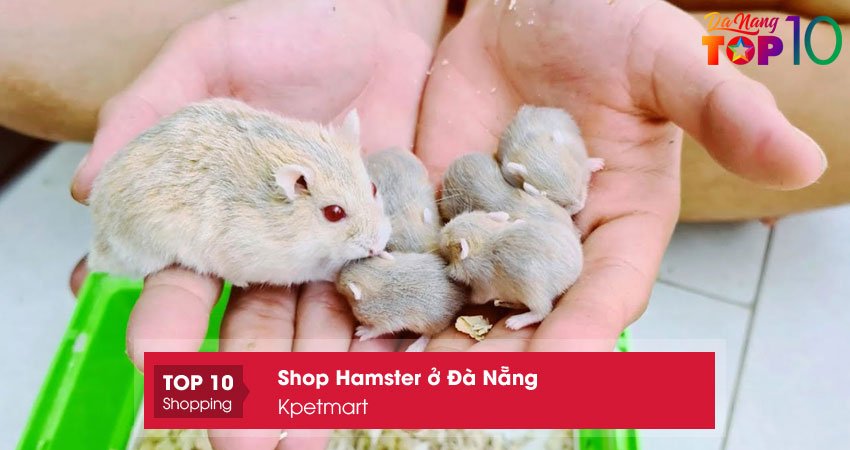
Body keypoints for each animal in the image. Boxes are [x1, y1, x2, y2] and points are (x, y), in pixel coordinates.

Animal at [88, 98, 392, 286]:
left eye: (373, 188)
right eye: (334, 213)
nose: (378, 246)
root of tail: (98, 246)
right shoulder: (277, 263)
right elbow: (316, 271)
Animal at [336, 252, 466, 352]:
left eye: (342, 281)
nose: (336, 276)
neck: (377, 277)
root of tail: (460, 296)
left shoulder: (387, 321)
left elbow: (376, 330)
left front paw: (361, 332)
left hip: (431, 323)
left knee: (429, 334)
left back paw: (415, 347)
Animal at [439, 211, 583, 330]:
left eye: (448, 243)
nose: (441, 231)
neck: (485, 237)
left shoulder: (483, 286)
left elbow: (476, 299)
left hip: (533, 293)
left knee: (542, 311)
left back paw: (513, 322)